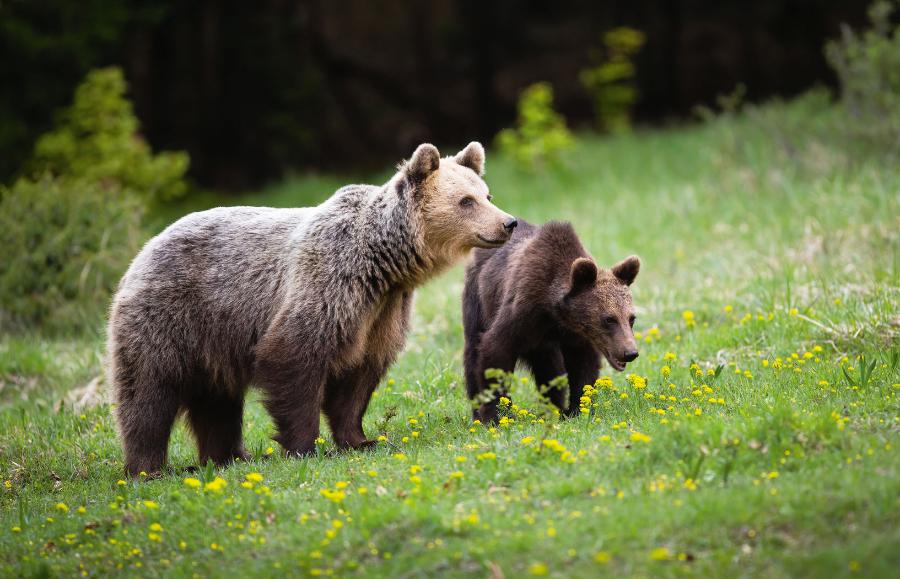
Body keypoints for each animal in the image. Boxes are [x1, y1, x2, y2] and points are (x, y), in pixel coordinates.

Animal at [106, 143, 516, 478]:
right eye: (466, 201)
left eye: (487, 194)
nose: (508, 222)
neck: (382, 264)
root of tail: (145, 248)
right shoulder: (328, 284)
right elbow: (295, 357)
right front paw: (305, 447)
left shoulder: (381, 312)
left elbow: (359, 378)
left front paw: (361, 439)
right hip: (170, 315)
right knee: (147, 391)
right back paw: (147, 468)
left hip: (214, 338)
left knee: (216, 401)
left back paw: (228, 457)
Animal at [464, 220, 640, 424]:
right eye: (609, 319)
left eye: (631, 318)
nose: (630, 352)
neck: (555, 313)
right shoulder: (521, 313)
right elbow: (495, 351)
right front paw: (496, 416)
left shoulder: (575, 336)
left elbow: (583, 367)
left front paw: (578, 410)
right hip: (477, 302)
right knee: (472, 353)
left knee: (549, 368)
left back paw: (552, 409)